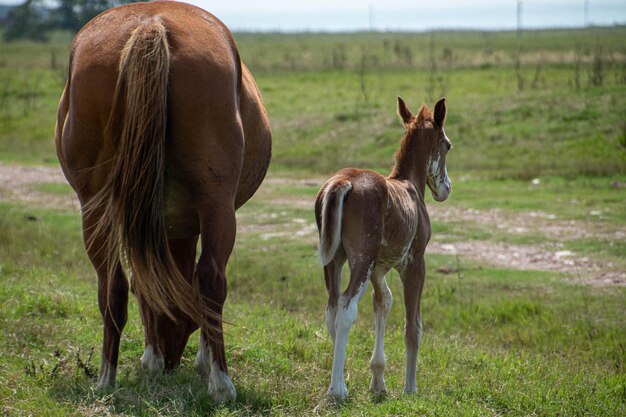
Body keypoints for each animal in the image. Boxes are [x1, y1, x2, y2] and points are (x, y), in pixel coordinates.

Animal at [53, 1, 268, 402]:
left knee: (112, 284)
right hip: (217, 202)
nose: (168, 362)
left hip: (93, 206)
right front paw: (200, 360)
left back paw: (106, 377)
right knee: (211, 279)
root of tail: (150, 26)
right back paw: (220, 382)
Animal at [314, 96, 450, 398]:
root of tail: (343, 182)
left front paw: (378, 380)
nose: (446, 189)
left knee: (332, 307)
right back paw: (337, 389)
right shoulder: (415, 262)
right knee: (346, 307)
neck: (409, 185)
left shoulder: (378, 268)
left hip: (334, 259)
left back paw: (339, 379)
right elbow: (413, 326)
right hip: (361, 259)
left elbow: (383, 302)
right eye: (448, 145)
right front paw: (410, 388)